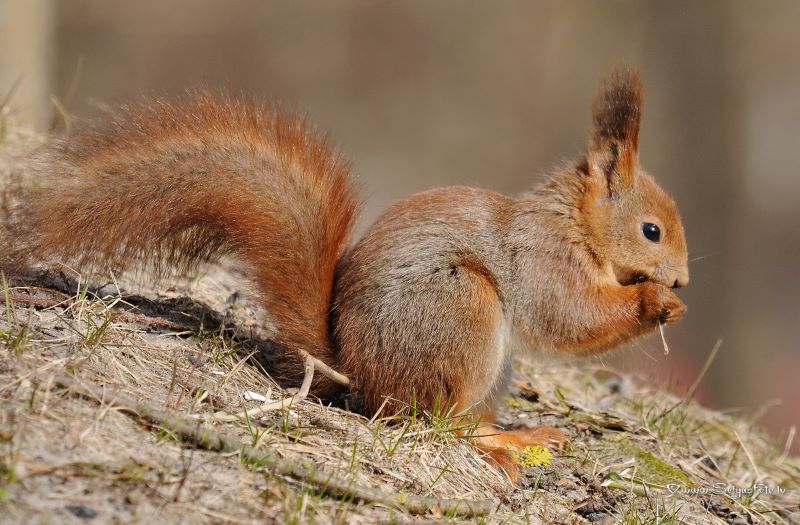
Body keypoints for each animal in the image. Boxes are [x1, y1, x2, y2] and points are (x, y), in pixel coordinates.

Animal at [0, 68, 688, 478]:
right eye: (651, 230)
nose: (682, 280)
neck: (576, 225)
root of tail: (356, 369)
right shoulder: (543, 260)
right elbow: (569, 316)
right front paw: (655, 303)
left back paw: (517, 434)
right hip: (459, 311)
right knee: (431, 425)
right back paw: (492, 445)